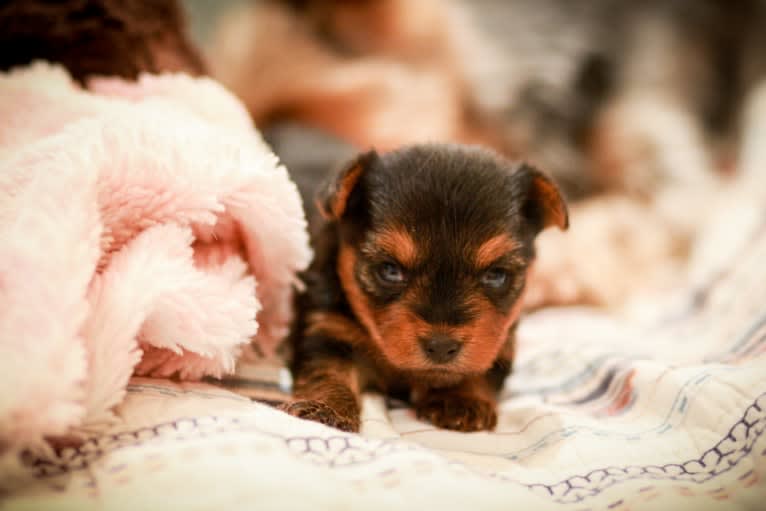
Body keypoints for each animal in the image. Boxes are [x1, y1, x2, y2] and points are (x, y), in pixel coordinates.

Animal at [284, 144, 568, 432]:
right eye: (390, 270)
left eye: (496, 275)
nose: (441, 346)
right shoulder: (326, 329)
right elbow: (328, 372)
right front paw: (325, 409)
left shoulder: (500, 342)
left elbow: (478, 370)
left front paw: (459, 399)